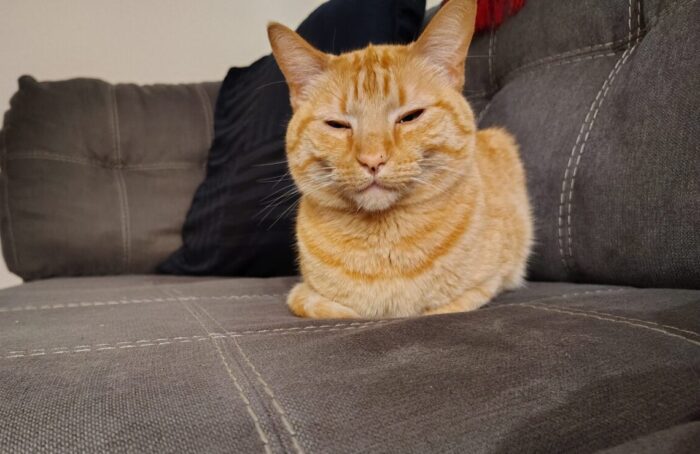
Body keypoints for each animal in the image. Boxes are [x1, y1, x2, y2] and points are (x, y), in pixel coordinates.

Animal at [266, 0, 532, 320]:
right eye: (337, 125)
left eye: (410, 117)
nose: (372, 160)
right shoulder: (304, 297)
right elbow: (334, 308)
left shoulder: (480, 289)